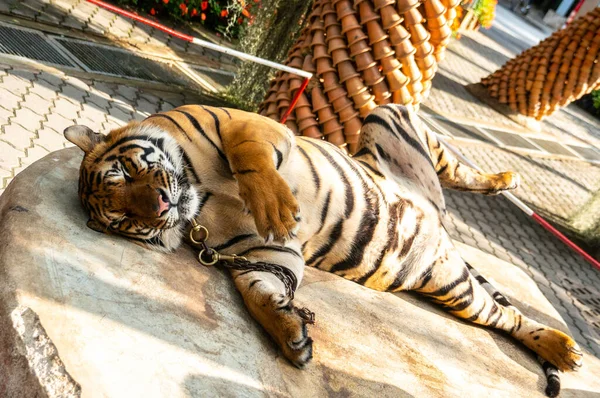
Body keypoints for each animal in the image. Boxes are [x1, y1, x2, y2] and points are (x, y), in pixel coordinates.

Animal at [64, 102, 580, 394]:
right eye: (126, 219)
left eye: (126, 173)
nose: (161, 204)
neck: (198, 203)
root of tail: (439, 221)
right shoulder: (259, 253)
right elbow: (258, 292)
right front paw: (290, 336)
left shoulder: (247, 125)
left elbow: (249, 156)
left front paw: (275, 204)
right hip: (449, 283)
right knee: (504, 317)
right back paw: (562, 349)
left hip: (390, 115)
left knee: (455, 166)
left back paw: (506, 179)